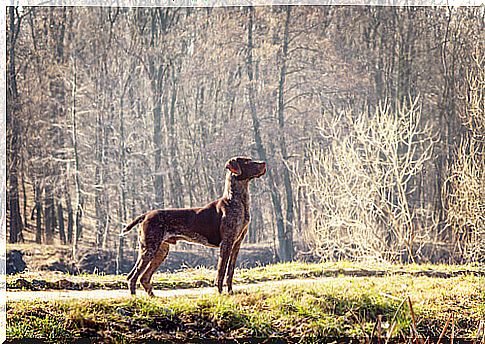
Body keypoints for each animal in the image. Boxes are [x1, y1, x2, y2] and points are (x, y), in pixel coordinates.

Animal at [119, 157, 266, 296]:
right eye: (247, 162)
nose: (264, 163)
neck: (237, 201)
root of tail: (145, 215)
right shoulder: (226, 244)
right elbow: (221, 272)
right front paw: (220, 294)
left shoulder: (236, 244)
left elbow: (230, 273)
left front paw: (230, 293)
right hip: (149, 249)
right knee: (133, 277)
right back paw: (135, 298)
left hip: (161, 251)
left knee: (143, 277)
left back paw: (153, 297)